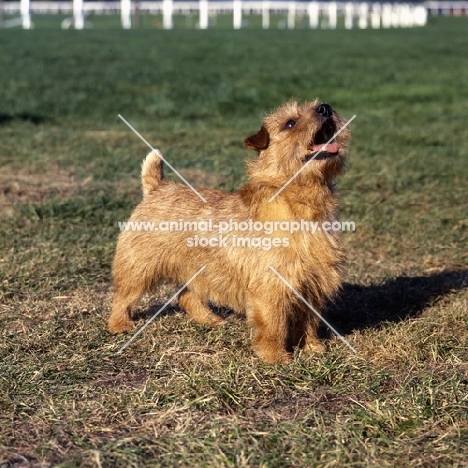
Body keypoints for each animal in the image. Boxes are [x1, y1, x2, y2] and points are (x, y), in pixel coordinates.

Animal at [109, 98, 352, 364]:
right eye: (290, 123)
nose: (325, 108)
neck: (303, 201)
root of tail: (157, 188)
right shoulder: (271, 285)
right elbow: (274, 323)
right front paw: (275, 356)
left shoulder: (312, 281)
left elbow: (308, 320)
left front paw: (311, 348)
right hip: (138, 266)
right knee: (123, 296)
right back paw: (119, 325)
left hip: (194, 269)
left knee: (187, 296)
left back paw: (210, 319)